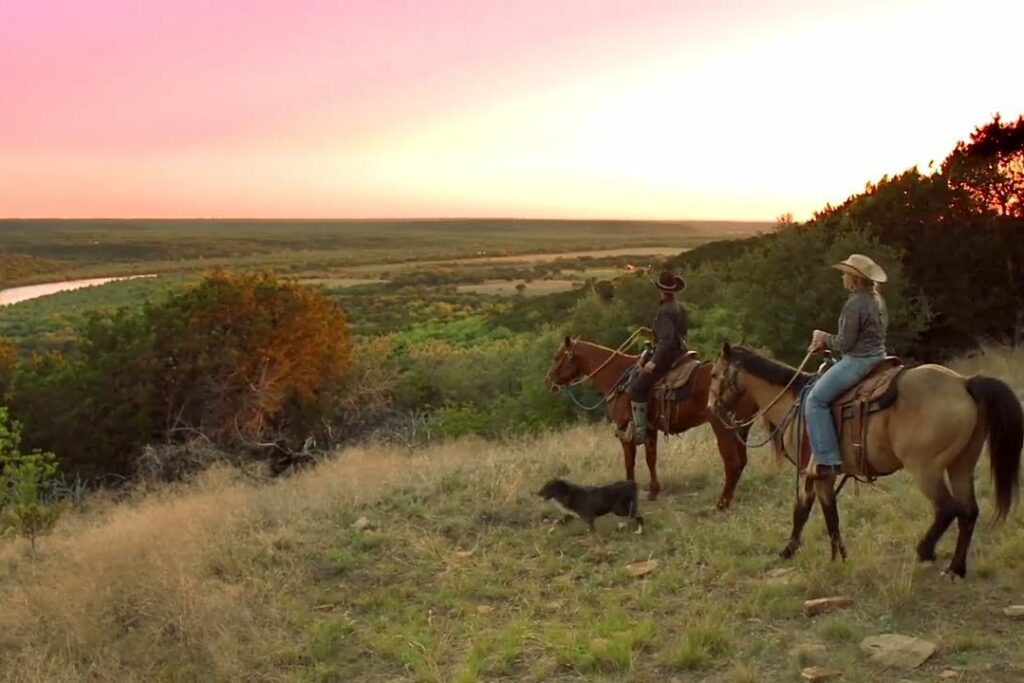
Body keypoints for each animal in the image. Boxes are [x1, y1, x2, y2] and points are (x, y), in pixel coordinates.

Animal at [544, 333, 761, 509]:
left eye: (556, 357)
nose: (548, 381)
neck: (617, 375)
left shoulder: (625, 430)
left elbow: (629, 462)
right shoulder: (650, 429)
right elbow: (651, 459)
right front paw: (654, 491)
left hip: (723, 428)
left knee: (732, 464)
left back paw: (721, 504)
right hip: (742, 428)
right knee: (741, 462)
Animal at [708, 344, 1019, 581]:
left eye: (713, 374)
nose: (712, 408)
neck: (794, 402)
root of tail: (963, 383)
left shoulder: (818, 472)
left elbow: (826, 513)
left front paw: (835, 556)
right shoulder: (816, 474)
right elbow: (807, 512)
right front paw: (795, 549)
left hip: (926, 469)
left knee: (947, 509)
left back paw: (925, 551)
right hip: (961, 465)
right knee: (969, 512)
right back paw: (956, 569)